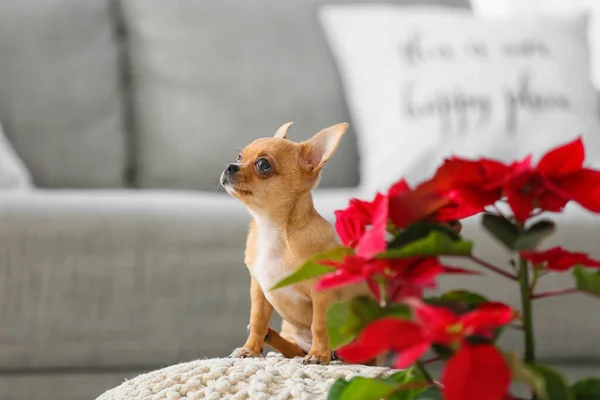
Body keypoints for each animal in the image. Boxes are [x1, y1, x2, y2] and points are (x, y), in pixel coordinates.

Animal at [221, 122, 368, 366]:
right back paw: (271, 337)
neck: (274, 230)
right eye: (239, 157)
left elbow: (319, 325)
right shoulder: (259, 290)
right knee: (293, 350)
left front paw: (318, 355)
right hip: (290, 330)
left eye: (263, 164)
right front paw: (250, 349)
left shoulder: (321, 296)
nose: (229, 166)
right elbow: (257, 319)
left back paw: (332, 354)